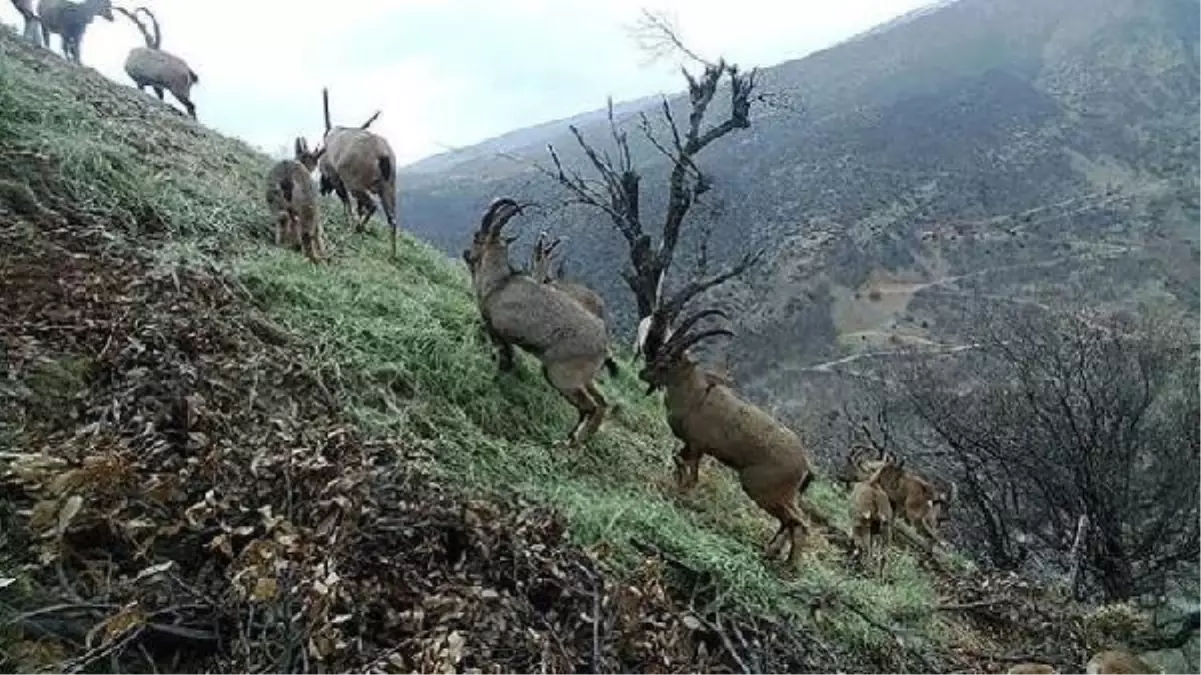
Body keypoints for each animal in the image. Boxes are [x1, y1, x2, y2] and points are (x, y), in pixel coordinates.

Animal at [305, 89, 403, 257]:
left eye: (322, 172)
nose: (321, 189)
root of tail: (382, 155)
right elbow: (359, 208)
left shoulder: (337, 178)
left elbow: (346, 201)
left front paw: (350, 222)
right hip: (388, 187)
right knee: (392, 219)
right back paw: (393, 254)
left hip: (355, 184)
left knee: (372, 205)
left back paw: (358, 227)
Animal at [461, 196, 610, 444]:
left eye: (477, 237)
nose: (466, 253)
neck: (499, 283)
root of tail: (604, 347)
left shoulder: (498, 330)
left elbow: (503, 356)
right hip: (585, 378)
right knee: (602, 402)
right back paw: (575, 438)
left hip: (561, 375)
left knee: (590, 407)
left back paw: (569, 442)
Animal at [638, 307, 816, 559]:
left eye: (666, 363)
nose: (643, 374)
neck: (695, 396)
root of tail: (805, 467)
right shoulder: (692, 446)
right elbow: (679, 460)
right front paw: (680, 486)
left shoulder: (697, 444)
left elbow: (690, 470)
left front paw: (683, 492)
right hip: (784, 495)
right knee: (790, 522)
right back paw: (772, 552)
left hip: (764, 489)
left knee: (799, 523)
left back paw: (788, 563)